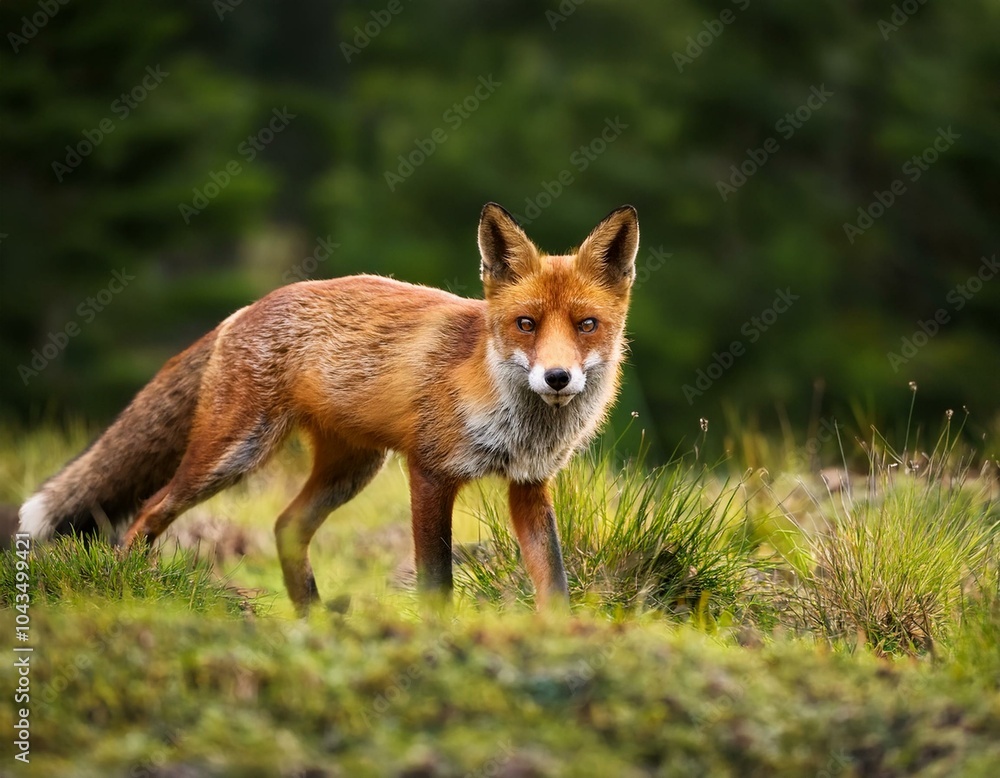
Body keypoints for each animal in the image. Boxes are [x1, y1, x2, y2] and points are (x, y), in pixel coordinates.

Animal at [18, 203, 640, 614]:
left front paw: (560, 638)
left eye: (587, 325)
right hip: (232, 455)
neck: (516, 420)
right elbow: (436, 584)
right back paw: (128, 586)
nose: (557, 377)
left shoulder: (529, 485)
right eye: (526, 324)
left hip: (353, 469)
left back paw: (312, 619)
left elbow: (553, 580)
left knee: (286, 525)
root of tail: (248, 306)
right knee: (148, 511)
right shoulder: (430, 473)